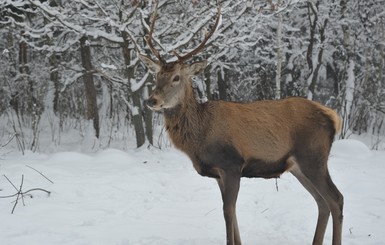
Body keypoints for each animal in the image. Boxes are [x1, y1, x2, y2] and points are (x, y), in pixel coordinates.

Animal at [138, 2, 342, 245]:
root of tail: (333, 117)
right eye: (156, 75)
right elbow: (232, 213)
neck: (201, 136)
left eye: (176, 77)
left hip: (313, 157)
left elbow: (228, 211)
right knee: (322, 202)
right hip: (299, 166)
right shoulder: (218, 173)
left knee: (336, 199)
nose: (152, 100)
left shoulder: (232, 163)